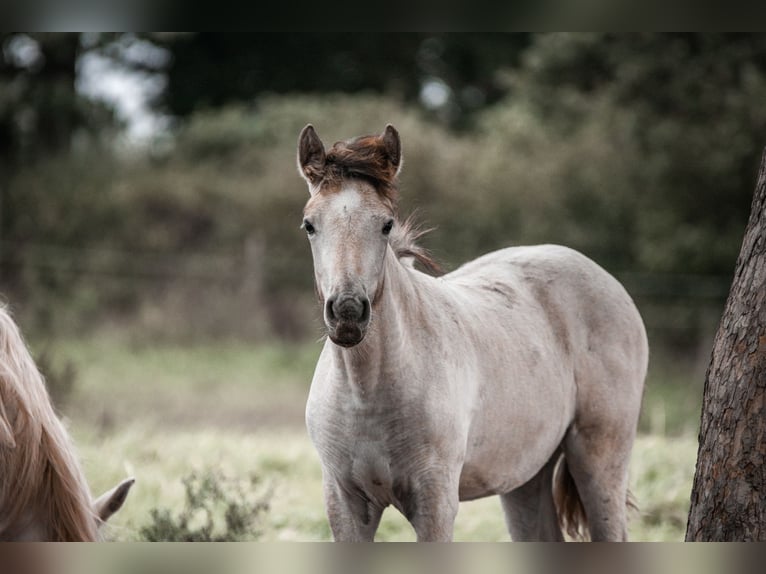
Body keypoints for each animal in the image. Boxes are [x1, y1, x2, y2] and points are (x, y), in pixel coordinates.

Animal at [296, 124, 652, 544]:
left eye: (386, 225)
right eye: (309, 225)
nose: (348, 312)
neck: (366, 392)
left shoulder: (435, 504)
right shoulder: (345, 505)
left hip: (599, 459)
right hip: (525, 475)